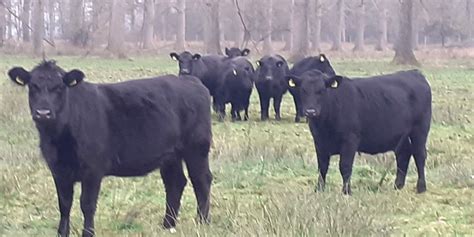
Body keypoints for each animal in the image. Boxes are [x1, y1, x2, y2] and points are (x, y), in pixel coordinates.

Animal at [7, 60, 213, 235]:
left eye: (59, 87)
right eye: (33, 86)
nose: (43, 113)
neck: (58, 138)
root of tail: (191, 81)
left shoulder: (92, 170)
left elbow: (87, 204)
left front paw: (88, 233)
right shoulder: (58, 170)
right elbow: (64, 204)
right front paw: (62, 233)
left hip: (196, 148)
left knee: (201, 180)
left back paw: (202, 222)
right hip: (171, 155)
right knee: (175, 183)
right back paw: (167, 225)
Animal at [286, 69, 432, 194]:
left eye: (321, 90)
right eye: (303, 90)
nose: (311, 111)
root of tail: (414, 73)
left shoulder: (350, 140)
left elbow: (345, 166)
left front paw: (346, 191)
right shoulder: (319, 141)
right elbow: (322, 166)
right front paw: (319, 189)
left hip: (420, 130)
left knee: (419, 155)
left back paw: (421, 187)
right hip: (401, 135)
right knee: (403, 154)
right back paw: (398, 185)